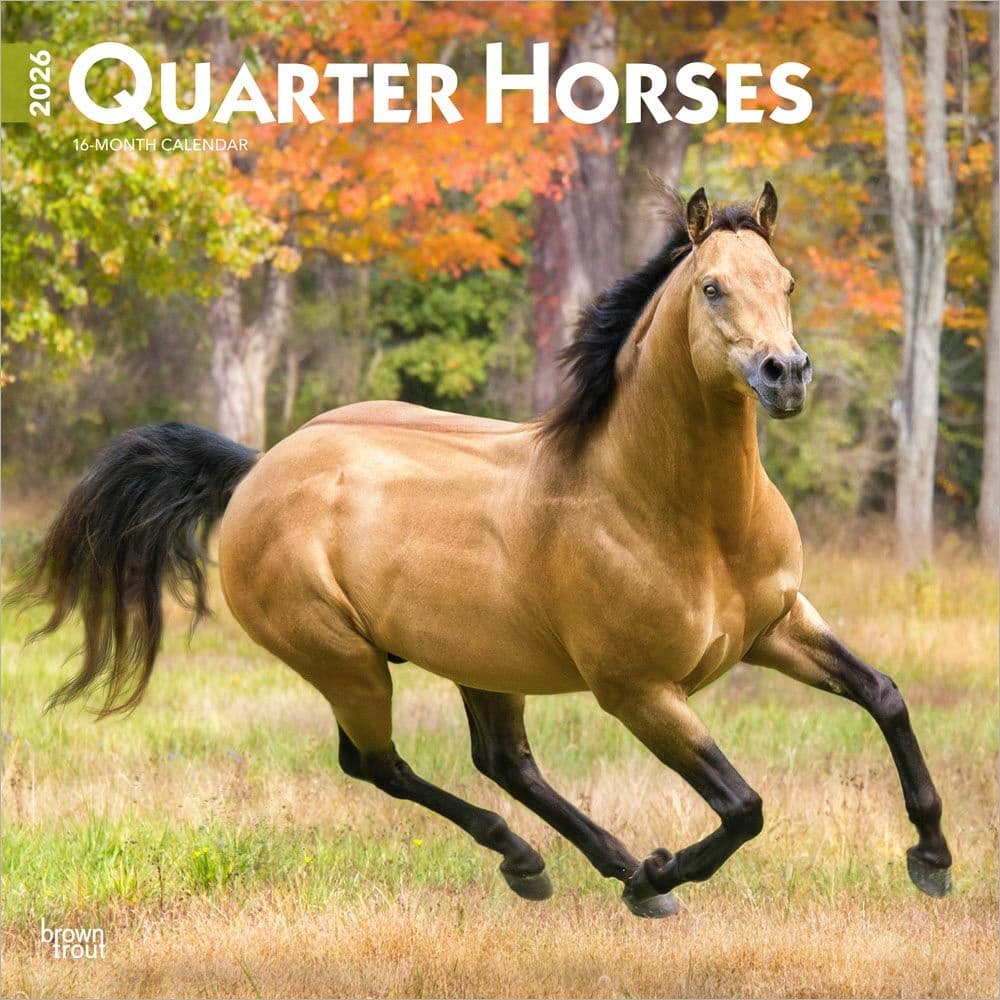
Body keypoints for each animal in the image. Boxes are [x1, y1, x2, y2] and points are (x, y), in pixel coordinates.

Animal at [14, 184, 952, 917]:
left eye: (786, 281)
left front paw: (933, 858)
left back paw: (593, 866)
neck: (678, 515)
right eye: (713, 287)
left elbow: (886, 695)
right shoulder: (641, 692)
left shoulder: (777, 625)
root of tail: (258, 471)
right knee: (378, 765)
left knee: (501, 761)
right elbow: (744, 806)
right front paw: (661, 872)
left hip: (480, 660)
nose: (785, 374)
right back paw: (553, 864)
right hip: (346, 662)